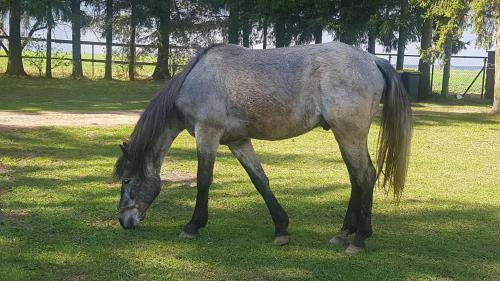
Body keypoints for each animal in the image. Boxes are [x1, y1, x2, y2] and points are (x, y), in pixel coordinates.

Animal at [115, 42, 412, 254]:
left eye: (127, 180)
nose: (124, 221)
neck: (195, 80)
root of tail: (372, 59)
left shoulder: (207, 134)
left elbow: (203, 180)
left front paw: (193, 226)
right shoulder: (238, 141)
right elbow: (260, 180)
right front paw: (281, 228)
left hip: (350, 134)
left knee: (365, 176)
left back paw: (359, 238)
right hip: (345, 136)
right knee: (356, 178)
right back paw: (343, 234)